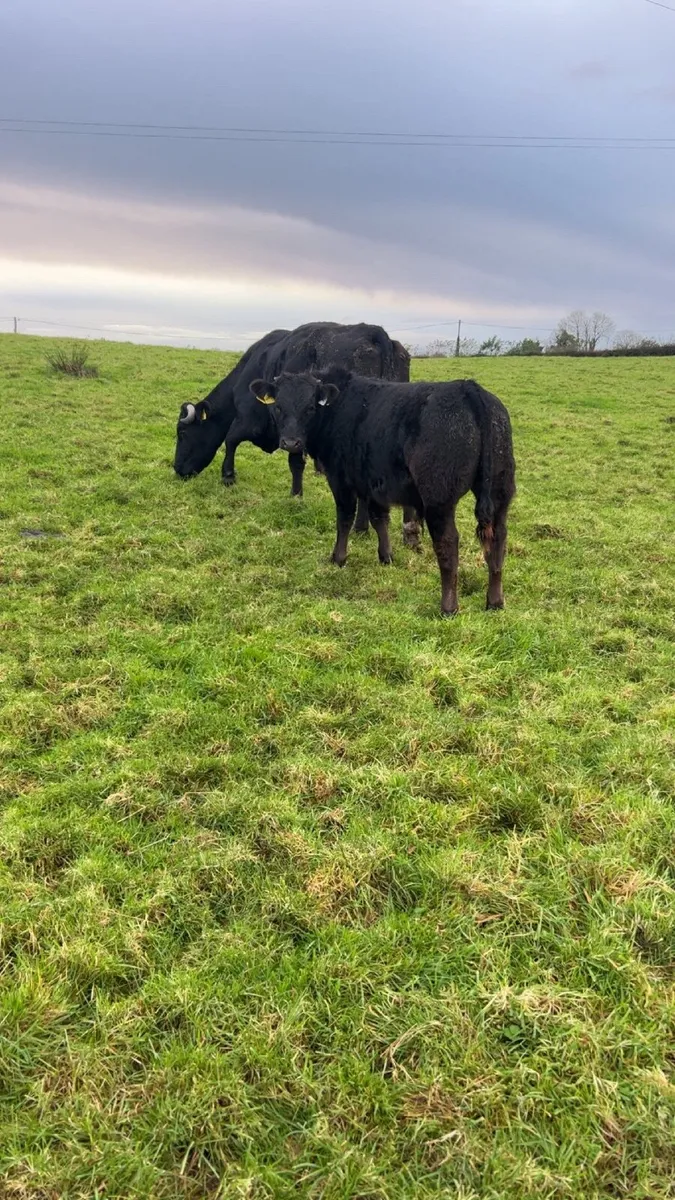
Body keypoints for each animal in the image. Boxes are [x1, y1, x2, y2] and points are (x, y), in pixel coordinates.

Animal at [173, 322, 418, 544]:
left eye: (182, 433)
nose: (177, 469)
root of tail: (375, 333)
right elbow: (296, 463)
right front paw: (297, 495)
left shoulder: (250, 420)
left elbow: (231, 440)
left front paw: (228, 476)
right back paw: (409, 534)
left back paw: (362, 527)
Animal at [248, 368, 516, 616]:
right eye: (278, 407)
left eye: (310, 407)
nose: (290, 442)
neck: (338, 406)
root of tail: (468, 389)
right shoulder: (374, 483)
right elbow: (379, 519)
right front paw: (386, 556)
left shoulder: (341, 480)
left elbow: (345, 519)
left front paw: (338, 558)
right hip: (501, 492)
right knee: (498, 539)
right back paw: (495, 602)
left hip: (439, 499)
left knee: (448, 543)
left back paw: (448, 607)